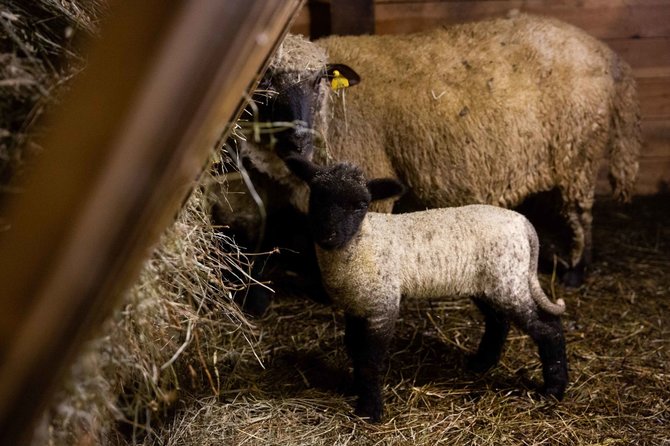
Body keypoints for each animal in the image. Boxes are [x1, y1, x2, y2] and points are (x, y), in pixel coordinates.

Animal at [240, 13, 640, 288]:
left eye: (317, 82)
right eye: (266, 89)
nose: (297, 138)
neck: (334, 113)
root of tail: (608, 54)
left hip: (579, 151)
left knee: (581, 212)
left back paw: (577, 271)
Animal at [286, 156, 568, 422]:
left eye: (360, 205)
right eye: (317, 197)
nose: (328, 236)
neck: (362, 242)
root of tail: (523, 223)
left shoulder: (382, 306)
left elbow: (370, 361)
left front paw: (370, 410)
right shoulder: (355, 305)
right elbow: (355, 350)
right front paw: (356, 389)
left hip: (509, 281)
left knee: (548, 329)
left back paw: (554, 389)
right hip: (489, 284)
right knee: (499, 322)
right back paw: (480, 364)